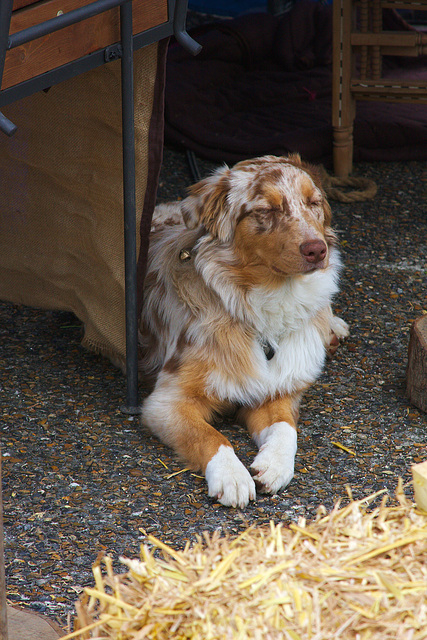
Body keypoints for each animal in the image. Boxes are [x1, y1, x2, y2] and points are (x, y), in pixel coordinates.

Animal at [139, 152, 350, 508]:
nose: (316, 249)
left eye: (314, 203)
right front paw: (231, 476)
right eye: (267, 210)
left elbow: (287, 429)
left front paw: (275, 465)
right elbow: (211, 436)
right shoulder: (166, 402)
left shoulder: (279, 388)